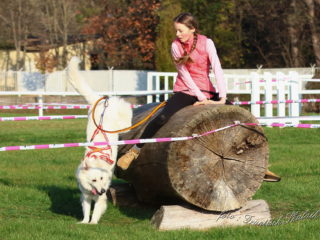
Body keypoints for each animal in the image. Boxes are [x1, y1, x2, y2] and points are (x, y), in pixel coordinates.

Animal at [67, 57, 132, 224]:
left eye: (102, 178)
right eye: (94, 180)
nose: (103, 190)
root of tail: (102, 102)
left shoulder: (101, 198)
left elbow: (96, 211)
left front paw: (93, 223)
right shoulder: (85, 195)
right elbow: (86, 209)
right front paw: (84, 222)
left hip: (123, 121)